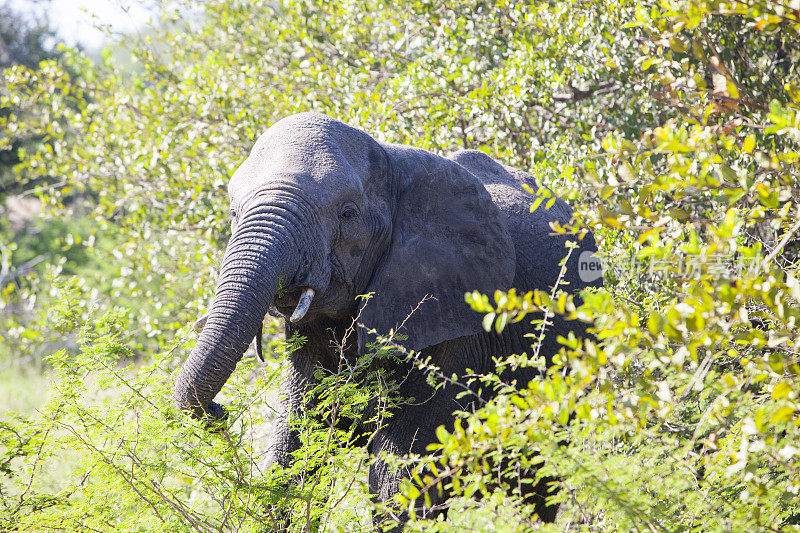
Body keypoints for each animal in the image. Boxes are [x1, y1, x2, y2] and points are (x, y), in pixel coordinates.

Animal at [175, 110, 600, 524]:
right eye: (233, 213)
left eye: (347, 214)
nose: (220, 413)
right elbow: (292, 452)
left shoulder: (454, 318)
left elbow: (397, 476)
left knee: (535, 478)